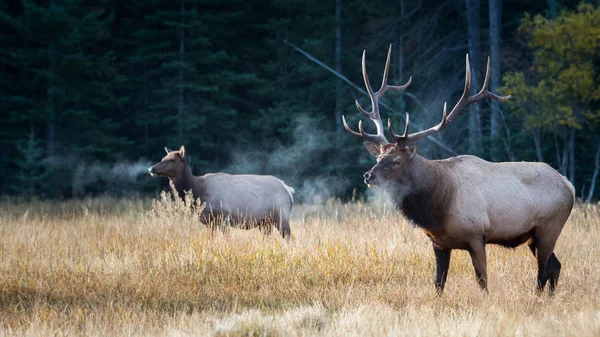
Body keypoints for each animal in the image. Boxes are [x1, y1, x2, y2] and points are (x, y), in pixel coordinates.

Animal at [148, 146, 292, 238]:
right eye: (163, 157)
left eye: (172, 160)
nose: (151, 168)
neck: (198, 191)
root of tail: (288, 190)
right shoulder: (209, 221)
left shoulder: (224, 216)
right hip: (265, 222)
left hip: (281, 215)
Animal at [344, 45, 580, 294]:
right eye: (379, 156)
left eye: (397, 160)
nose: (368, 175)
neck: (437, 205)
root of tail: (569, 185)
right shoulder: (438, 242)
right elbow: (438, 283)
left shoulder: (476, 235)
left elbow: (483, 281)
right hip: (535, 235)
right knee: (556, 266)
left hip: (549, 227)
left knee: (543, 272)